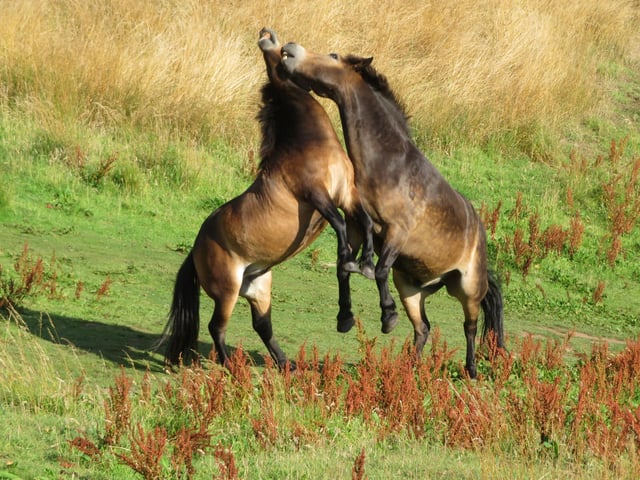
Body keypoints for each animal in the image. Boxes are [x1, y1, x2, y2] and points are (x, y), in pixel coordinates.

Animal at [158, 28, 375, 369]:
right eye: (277, 52)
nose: (268, 35)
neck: (307, 143)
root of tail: (194, 251)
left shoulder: (347, 194)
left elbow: (364, 222)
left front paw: (364, 266)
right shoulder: (316, 195)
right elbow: (341, 227)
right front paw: (349, 273)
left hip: (259, 288)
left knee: (262, 325)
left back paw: (287, 364)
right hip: (228, 292)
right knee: (217, 327)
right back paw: (231, 367)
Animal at [280, 42, 505, 378]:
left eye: (333, 56)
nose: (289, 50)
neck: (389, 166)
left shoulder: (398, 232)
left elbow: (378, 269)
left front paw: (387, 316)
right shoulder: (357, 229)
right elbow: (344, 267)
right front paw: (345, 318)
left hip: (468, 288)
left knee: (470, 327)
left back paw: (471, 370)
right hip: (411, 289)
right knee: (423, 328)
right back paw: (408, 369)